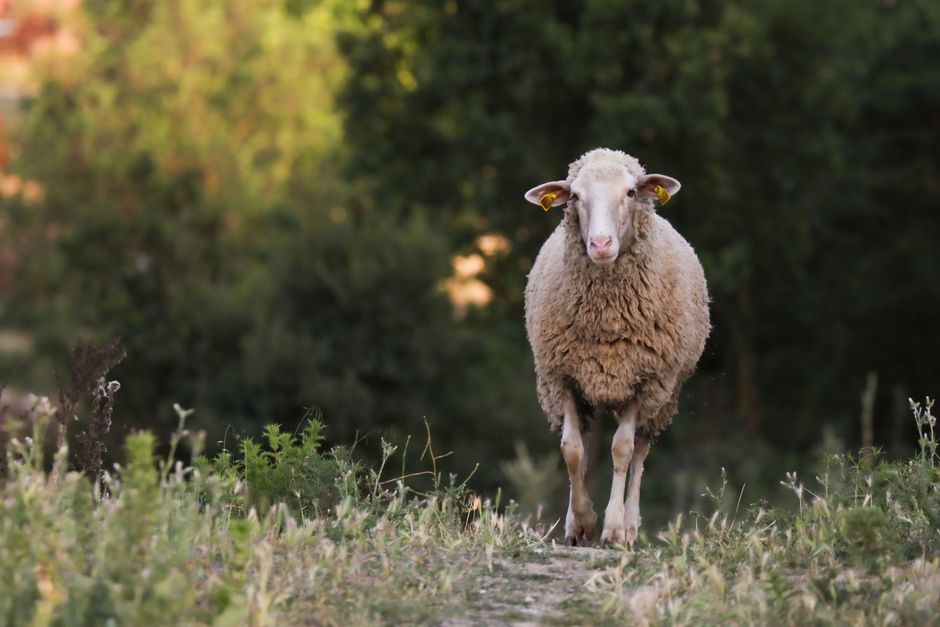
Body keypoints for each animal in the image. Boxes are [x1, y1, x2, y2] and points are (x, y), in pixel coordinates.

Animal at [523, 148, 710, 547]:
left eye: (630, 193)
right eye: (575, 197)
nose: (601, 244)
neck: (606, 320)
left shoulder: (643, 381)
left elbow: (622, 450)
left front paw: (612, 528)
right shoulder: (562, 378)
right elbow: (572, 450)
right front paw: (582, 522)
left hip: (663, 397)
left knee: (640, 451)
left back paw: (630, 526)